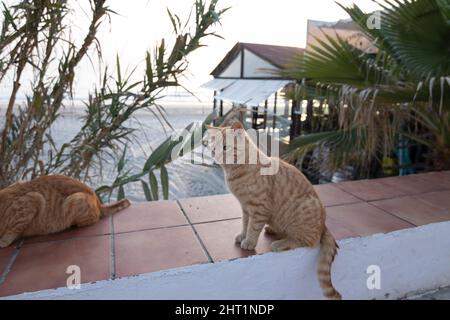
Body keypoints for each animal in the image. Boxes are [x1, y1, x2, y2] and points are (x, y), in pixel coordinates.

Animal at [0, 175, 130, 248]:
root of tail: (98, 201)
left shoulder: (33, 200)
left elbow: (14, 229)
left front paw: (3, 241)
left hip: (74, 200)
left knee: (89, 221)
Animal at [207, 121, 342, 302]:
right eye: (213, 148)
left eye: (225, 147)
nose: (215, 155)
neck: (237, 170)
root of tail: (323, 224)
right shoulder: (246, 208)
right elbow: (245, 224)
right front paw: (243, 235)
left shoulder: (259, 208)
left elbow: (253, 228)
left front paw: (249, 242)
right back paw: (273, 230)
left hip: (304, 213)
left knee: (308, 241)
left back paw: (280, 243)